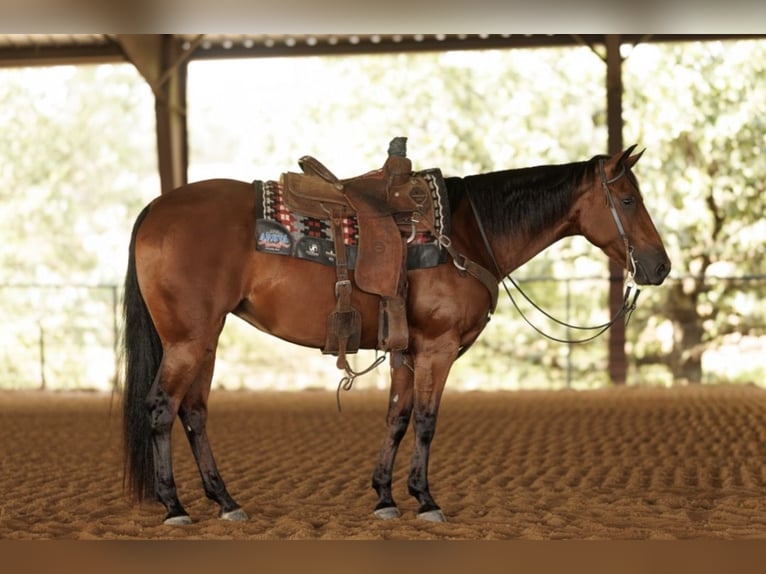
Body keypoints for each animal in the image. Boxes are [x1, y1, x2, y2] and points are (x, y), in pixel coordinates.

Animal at [121, 145, 670, 525]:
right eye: (628, 198)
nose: (660, 266)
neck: (465, 233)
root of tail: (155, 209)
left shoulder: (408, 351)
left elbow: (397, 417)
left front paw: (385, 496)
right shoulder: (438, 349)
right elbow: (426, 420)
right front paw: (425, 500)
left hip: (206, 339)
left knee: (194, 413)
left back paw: (226, 501)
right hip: (187, 341)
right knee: (162, 408)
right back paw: (174, 507)